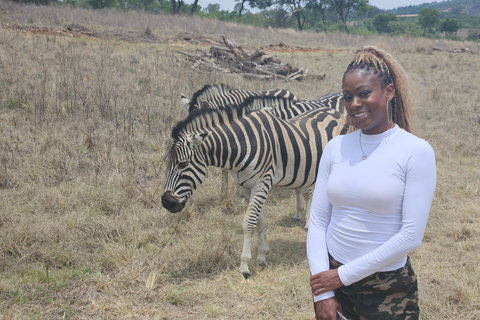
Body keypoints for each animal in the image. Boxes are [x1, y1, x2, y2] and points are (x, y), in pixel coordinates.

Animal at [162, 99, 348, 278]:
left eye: (182, 164)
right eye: (166, 163)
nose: (166, 203)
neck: (242, 146)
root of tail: (335, 111)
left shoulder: (262, 182)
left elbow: (249, 222)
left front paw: (244, 266)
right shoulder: (247, 186)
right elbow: (260, 221)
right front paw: (262, 255)